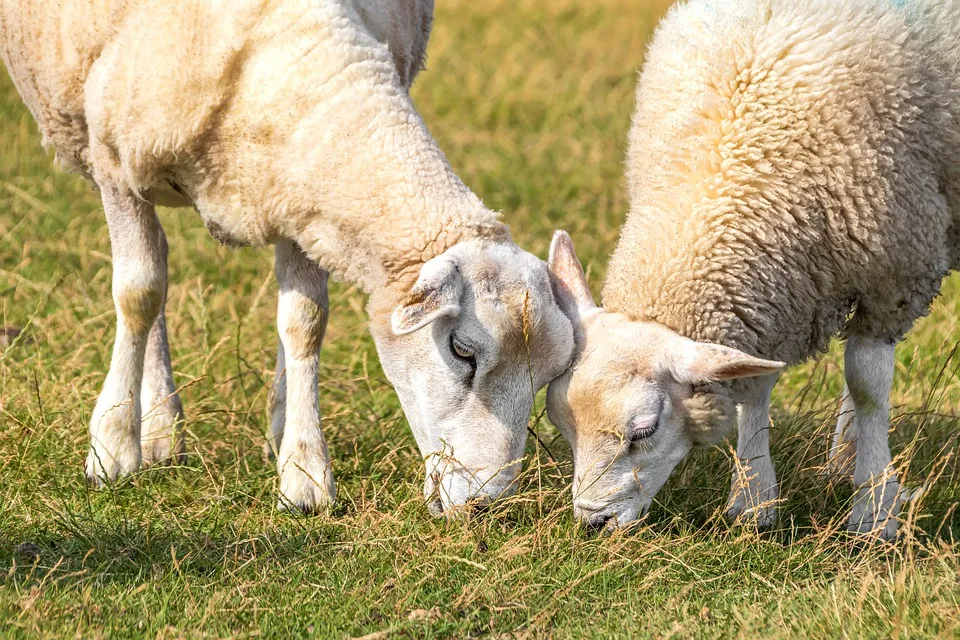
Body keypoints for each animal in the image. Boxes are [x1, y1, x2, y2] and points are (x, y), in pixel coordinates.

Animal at [1, 0, 576, 512]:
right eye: (461, 351)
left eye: (548, 379)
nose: (484, 505)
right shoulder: (117, 166)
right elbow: (138, 293)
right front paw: (113, 445)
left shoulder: (303, 205)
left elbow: (305, 322)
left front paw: (302, 468)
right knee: (150, 280)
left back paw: (166, 425)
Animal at [548, 0, 960, 540]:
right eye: (562, 425)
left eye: (644, 431)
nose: (593, 522)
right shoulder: (767, 299)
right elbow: (754, 386)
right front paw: (753, 499)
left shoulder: (894, 274)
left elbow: (869, 383)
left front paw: (874, 509)